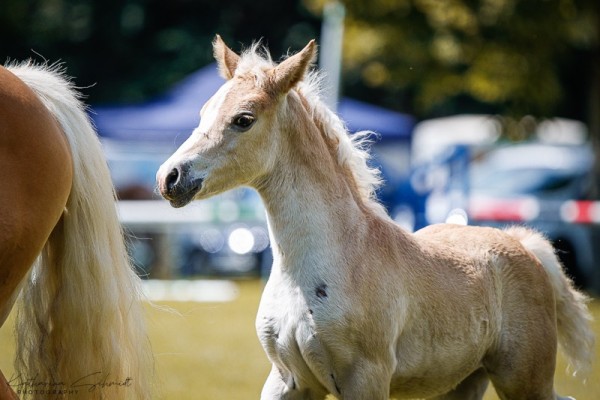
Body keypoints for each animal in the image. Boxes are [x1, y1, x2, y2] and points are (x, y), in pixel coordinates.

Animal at [157, 36, 592, 398]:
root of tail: (523, 244)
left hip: (524, 379)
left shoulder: (366, 379)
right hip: (463, 383)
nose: (169, 177)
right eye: (204, 111)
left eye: (244, 119)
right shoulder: (287, 380)